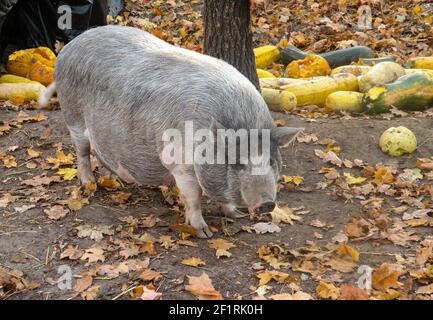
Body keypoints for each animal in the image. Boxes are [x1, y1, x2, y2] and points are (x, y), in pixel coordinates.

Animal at [41, 26, 304, 238]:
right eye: (237, 163)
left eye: (271, 162)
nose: (267, 204)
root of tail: (68, 48)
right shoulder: (180, 164)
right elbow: (193, 197)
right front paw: (203, 232)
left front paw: (235, 215)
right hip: (73, 117)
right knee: (82, 152)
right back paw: (89, 185)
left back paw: (115, 181)